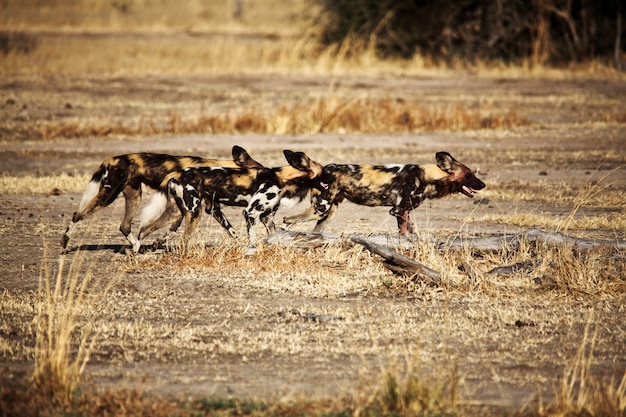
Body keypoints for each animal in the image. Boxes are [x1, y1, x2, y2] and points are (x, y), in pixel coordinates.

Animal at [61, 145, 260, 249]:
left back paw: (136, 246)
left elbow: (230, 230)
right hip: (108, 196)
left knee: (124, 226)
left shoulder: (206, 208)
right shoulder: (193, 208)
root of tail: (111, 158)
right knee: (77, 215)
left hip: (134, 196)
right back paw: (65, 241)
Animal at [136, 150, 322, 254]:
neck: (282, 177)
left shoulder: (267, 218)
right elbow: (252, 239)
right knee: (183, 242)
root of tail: (177, 172)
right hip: (194, 212)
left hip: (176, 214)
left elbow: (273, 236)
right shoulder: (250, 213)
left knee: (144, 230)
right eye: (325, 172)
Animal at [282, 150, 482, 236]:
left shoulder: (404, 211)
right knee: (290, 219)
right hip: (321, 208)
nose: (483, 184)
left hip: (328, 213)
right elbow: (404, 234)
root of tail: (324, 168)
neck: (428, 176)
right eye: (469, 175)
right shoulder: (399, 210)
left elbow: (414, 233)